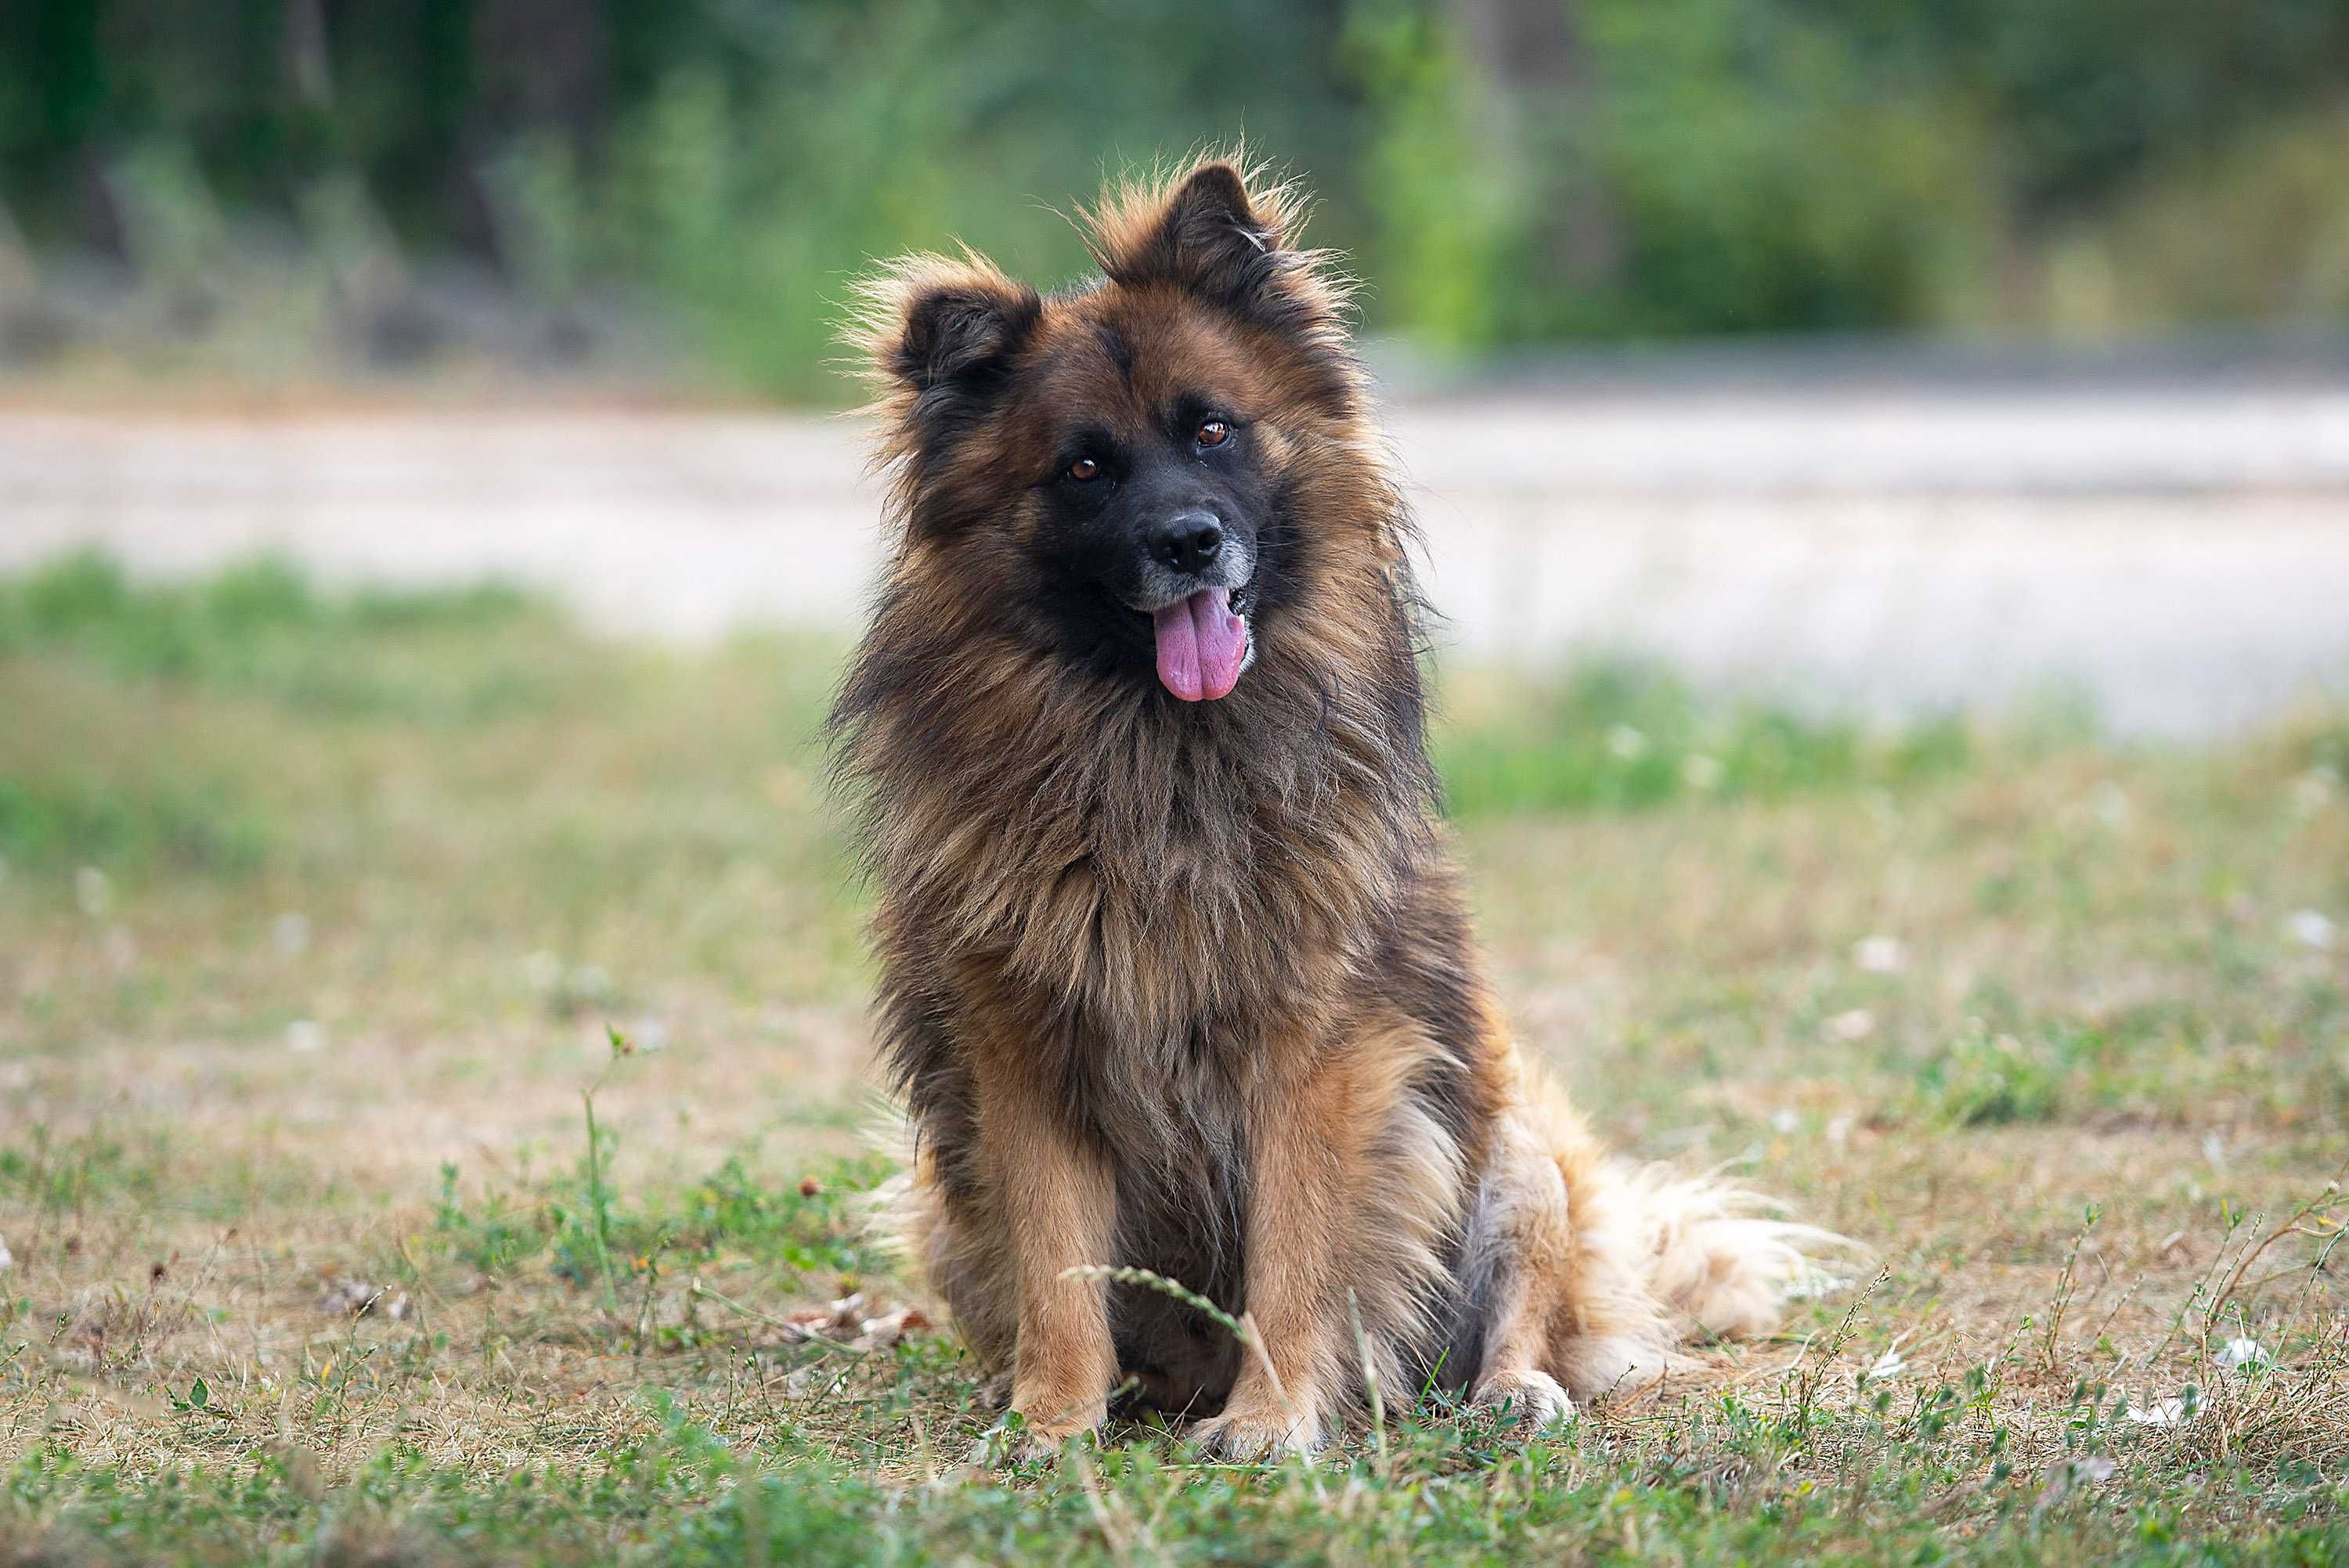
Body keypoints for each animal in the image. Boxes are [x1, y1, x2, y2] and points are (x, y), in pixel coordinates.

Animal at [836, 152, 1823, 1455]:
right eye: (1084, 467)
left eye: (1212, 428)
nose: (1189, 540)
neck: (1164, 758)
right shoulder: (1025, 1057)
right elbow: (1058, 1265)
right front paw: (1053, 1418)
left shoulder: (1323, 1052)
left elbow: (1297, 1253)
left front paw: (1274, 1419)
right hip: (942, 1206)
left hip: (1511, 1138)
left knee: (1523, 1312)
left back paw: (1509, 1391)